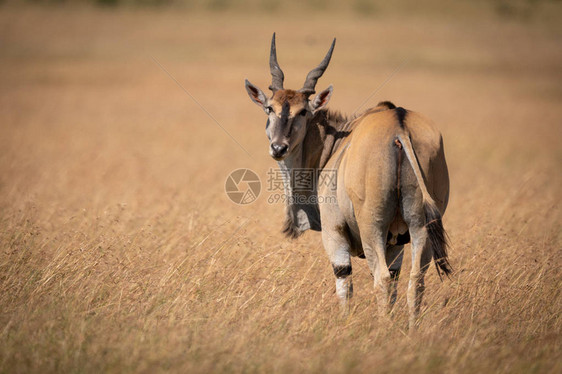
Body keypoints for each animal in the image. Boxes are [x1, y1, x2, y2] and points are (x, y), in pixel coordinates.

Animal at [243, 34, 448, 328]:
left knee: (381, 278)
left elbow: (345, 284)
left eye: (303, 112)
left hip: (372, 226)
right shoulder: (396, 244)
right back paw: (411, 331)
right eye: (270, 108)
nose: (279, 148)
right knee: (415, 281)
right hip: (420, 228)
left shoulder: (334, 234)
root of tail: (399, 125)